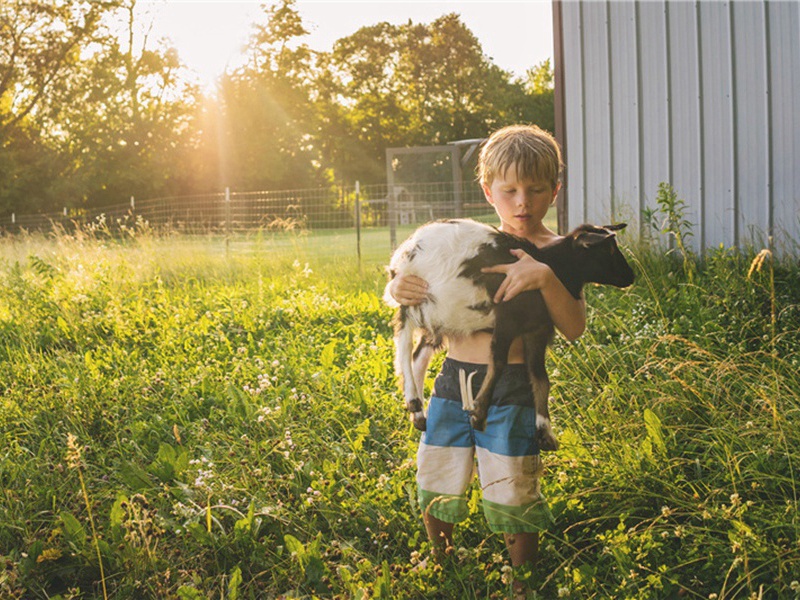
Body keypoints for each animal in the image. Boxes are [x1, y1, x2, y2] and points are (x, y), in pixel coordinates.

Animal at [384, 219, 636, 450]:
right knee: (404, 346)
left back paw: (418, 414)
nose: (631, 276)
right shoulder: (508, 318)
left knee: (418, 358)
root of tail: (403, 254)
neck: (553, 266)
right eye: (607, 250)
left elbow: (540, 377)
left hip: (434, 318)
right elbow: (498, 362)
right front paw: (479, 412)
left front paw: (544, 431)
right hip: (413, 299)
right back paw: (413, 400)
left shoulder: (537, 329)